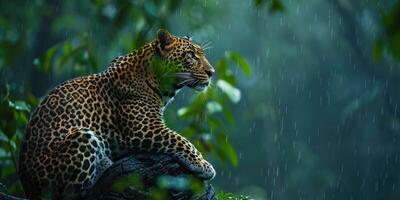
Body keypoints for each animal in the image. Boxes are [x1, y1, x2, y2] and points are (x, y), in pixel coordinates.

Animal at [18, 28, 217, 199]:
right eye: (191, 55)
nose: (212, 72)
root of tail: (28, 187)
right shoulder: (145, 128)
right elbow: (181, 140)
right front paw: (203, 165)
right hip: (81, 136)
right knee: (71, 193)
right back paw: (104, 163)